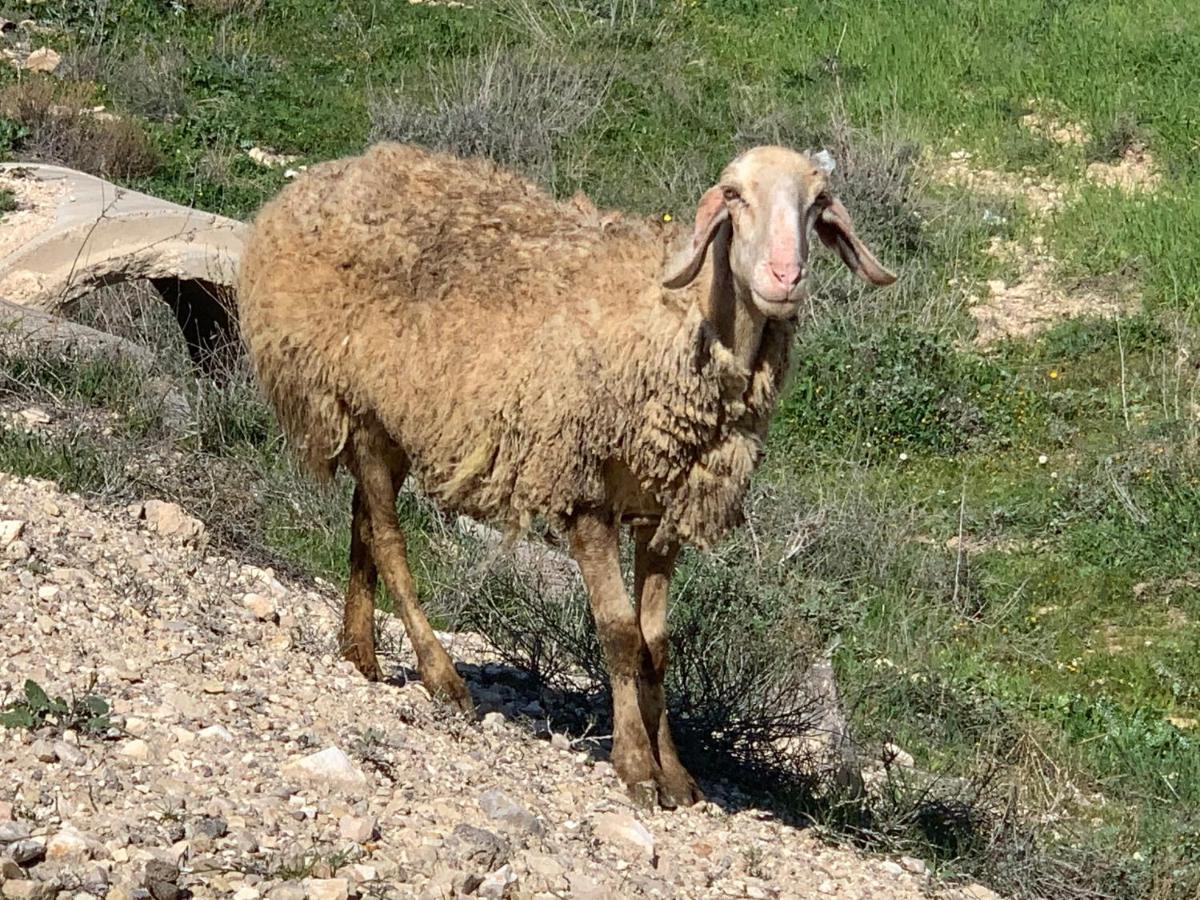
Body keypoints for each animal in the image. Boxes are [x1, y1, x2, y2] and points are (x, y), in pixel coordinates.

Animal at [236, 142, 892, 811]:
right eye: (734, 196)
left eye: (817, 203)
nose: (785, 278)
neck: (674, 324)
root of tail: (322, 180)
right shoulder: (584, 492)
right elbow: (620, 634)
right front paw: (636, 766)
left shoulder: (662, 512)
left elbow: (657, 644)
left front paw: (676, 774)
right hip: (356, 402)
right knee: (388, 540)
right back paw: (440, 674)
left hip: (391, 422)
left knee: (362, 525)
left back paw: (360, 652)